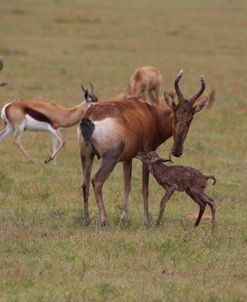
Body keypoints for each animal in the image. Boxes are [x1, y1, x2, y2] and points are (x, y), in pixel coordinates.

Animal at [78, 71, 208, 225]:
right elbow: (145, 188)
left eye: (190, 119)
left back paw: (86, 219)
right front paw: (146, 220)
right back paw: (104, 221)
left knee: (85, 184)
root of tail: (90, 117)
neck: (149, 113)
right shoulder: (147, 154)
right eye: (176, 116)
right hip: (110, 158)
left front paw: (124, 218)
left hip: (86, 155)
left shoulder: (127, 158)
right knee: (97, 181)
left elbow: (127, 186)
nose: (177, 151)